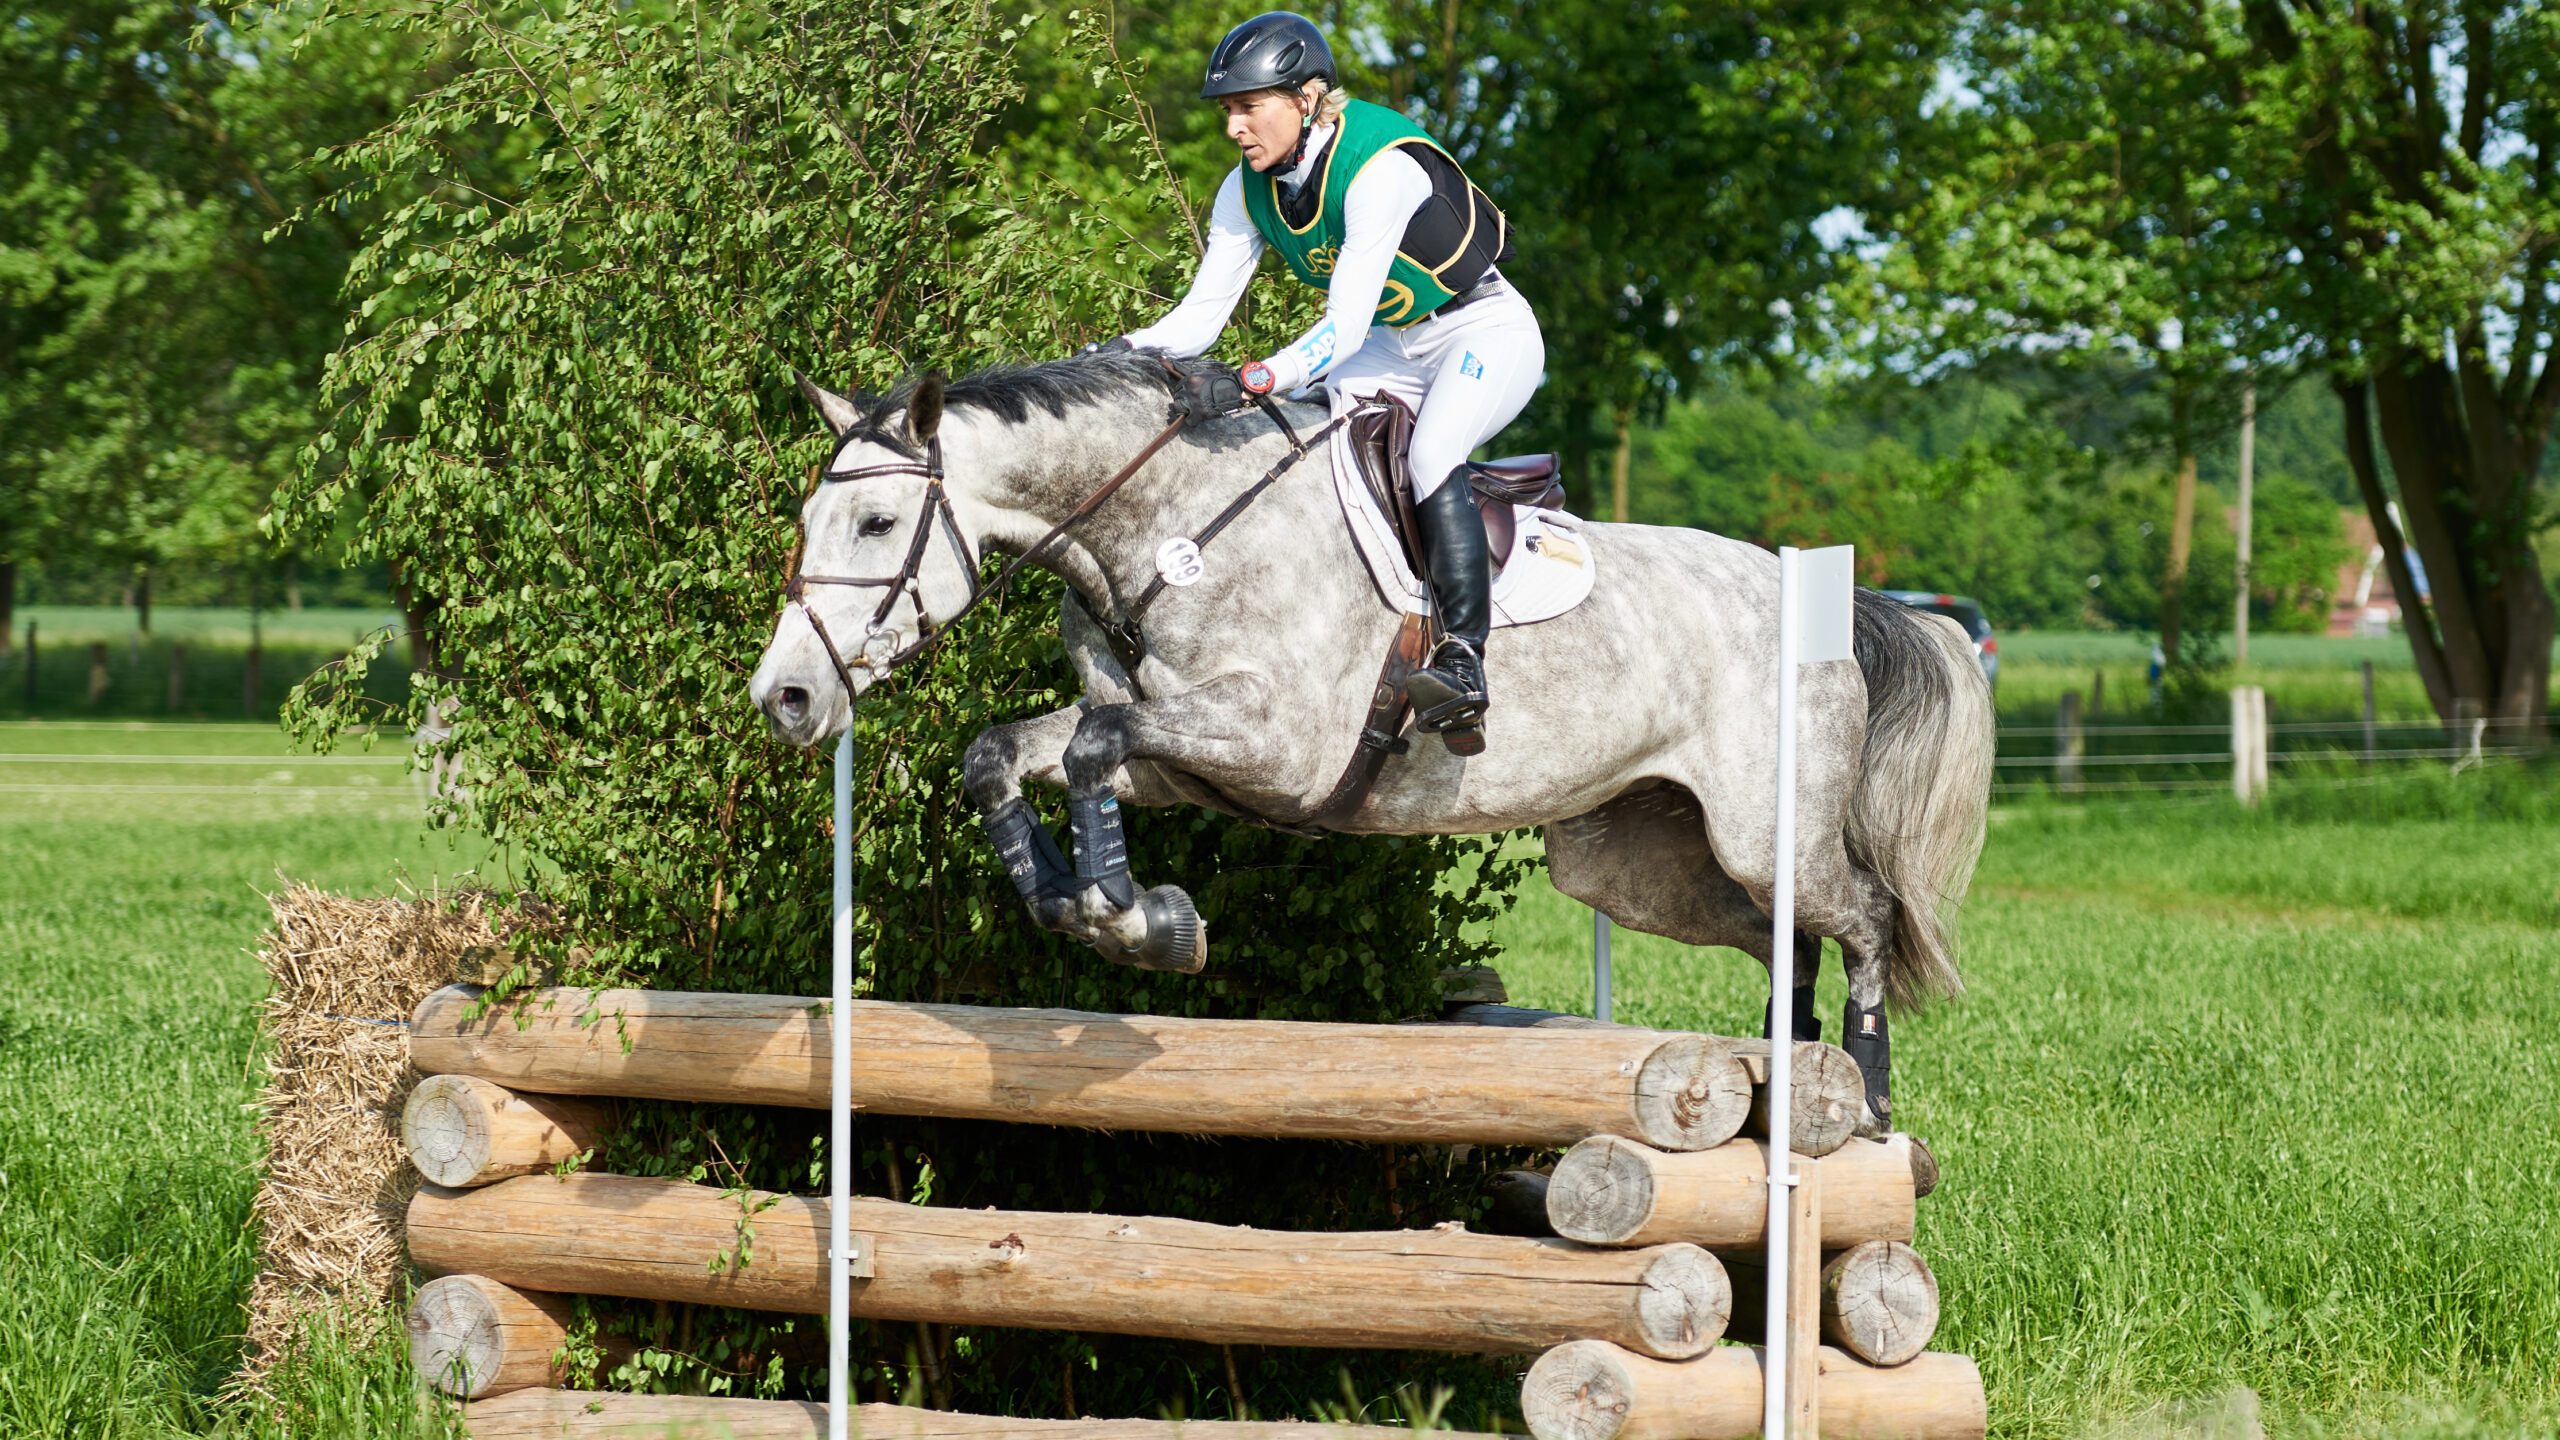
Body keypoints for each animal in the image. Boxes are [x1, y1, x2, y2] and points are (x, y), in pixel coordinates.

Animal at [747, 351, 1986, 1132]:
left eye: (875, 523)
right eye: (809, 520)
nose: (788, 698)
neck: (1164, 533)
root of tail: (1826, 600)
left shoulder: (1273, 744)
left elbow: (1092, 745)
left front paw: (1139, 923)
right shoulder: (1179, 763)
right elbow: (1013, 751)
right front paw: (1088, 905)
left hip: (1761, 831)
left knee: (1862, 920)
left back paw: (1866, 1101)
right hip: (1632, 862)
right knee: (1782, 942)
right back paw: (1794, 1073)